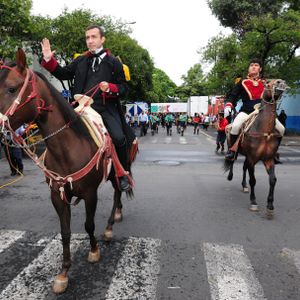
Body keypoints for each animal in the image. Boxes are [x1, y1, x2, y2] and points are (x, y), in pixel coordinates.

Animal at [0, 49, 138, 292]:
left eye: (12, 88)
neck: (67, 147)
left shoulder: (90, 194)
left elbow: (89, 224)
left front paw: (94, 251)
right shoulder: (58, 195)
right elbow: (65, 232)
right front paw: (63, 273)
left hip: (118, 169)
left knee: (118, 190)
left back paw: (110, 226)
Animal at [224, 77, 288, 218]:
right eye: (268, 83)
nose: (281, 82)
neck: (265, 132)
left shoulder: (268, 159)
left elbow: (273, 180)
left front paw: (270, 206)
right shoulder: (252, 159)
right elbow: (253, 180)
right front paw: (253, 202)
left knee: (244, 168)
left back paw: (244, 186)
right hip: (235, 149)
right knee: (232, 160)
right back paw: (230, 176)